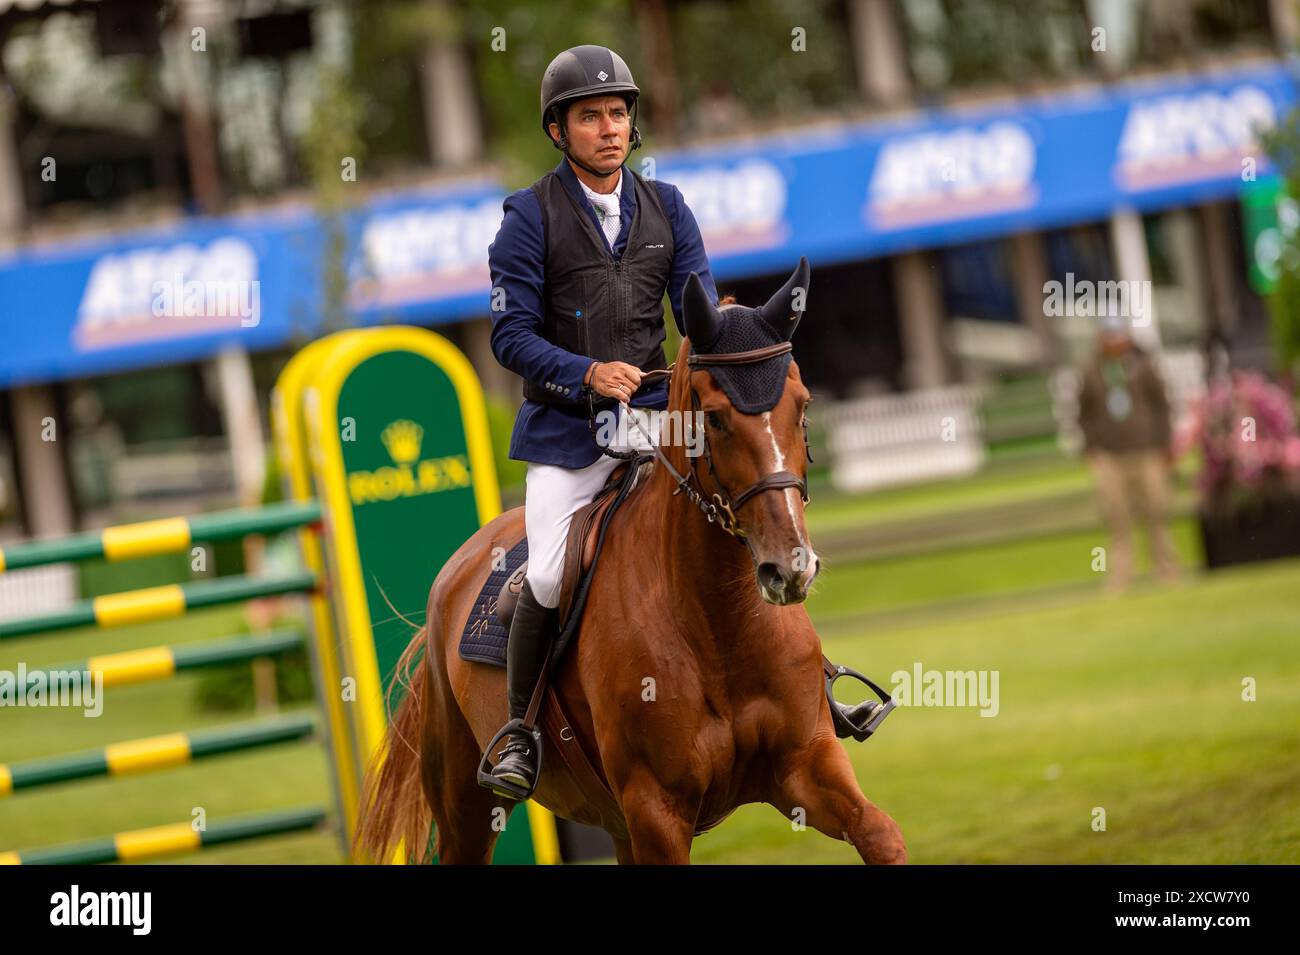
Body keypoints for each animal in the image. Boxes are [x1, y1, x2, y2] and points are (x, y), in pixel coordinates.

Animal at [356, 257, 904, 862]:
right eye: (715, 419)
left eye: (802, 407)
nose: (790, 569)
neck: (719, 622)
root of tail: (457, 568)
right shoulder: (655, 808)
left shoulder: (805, 767)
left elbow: (880, 834)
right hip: (466, 807)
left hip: (613, 820)